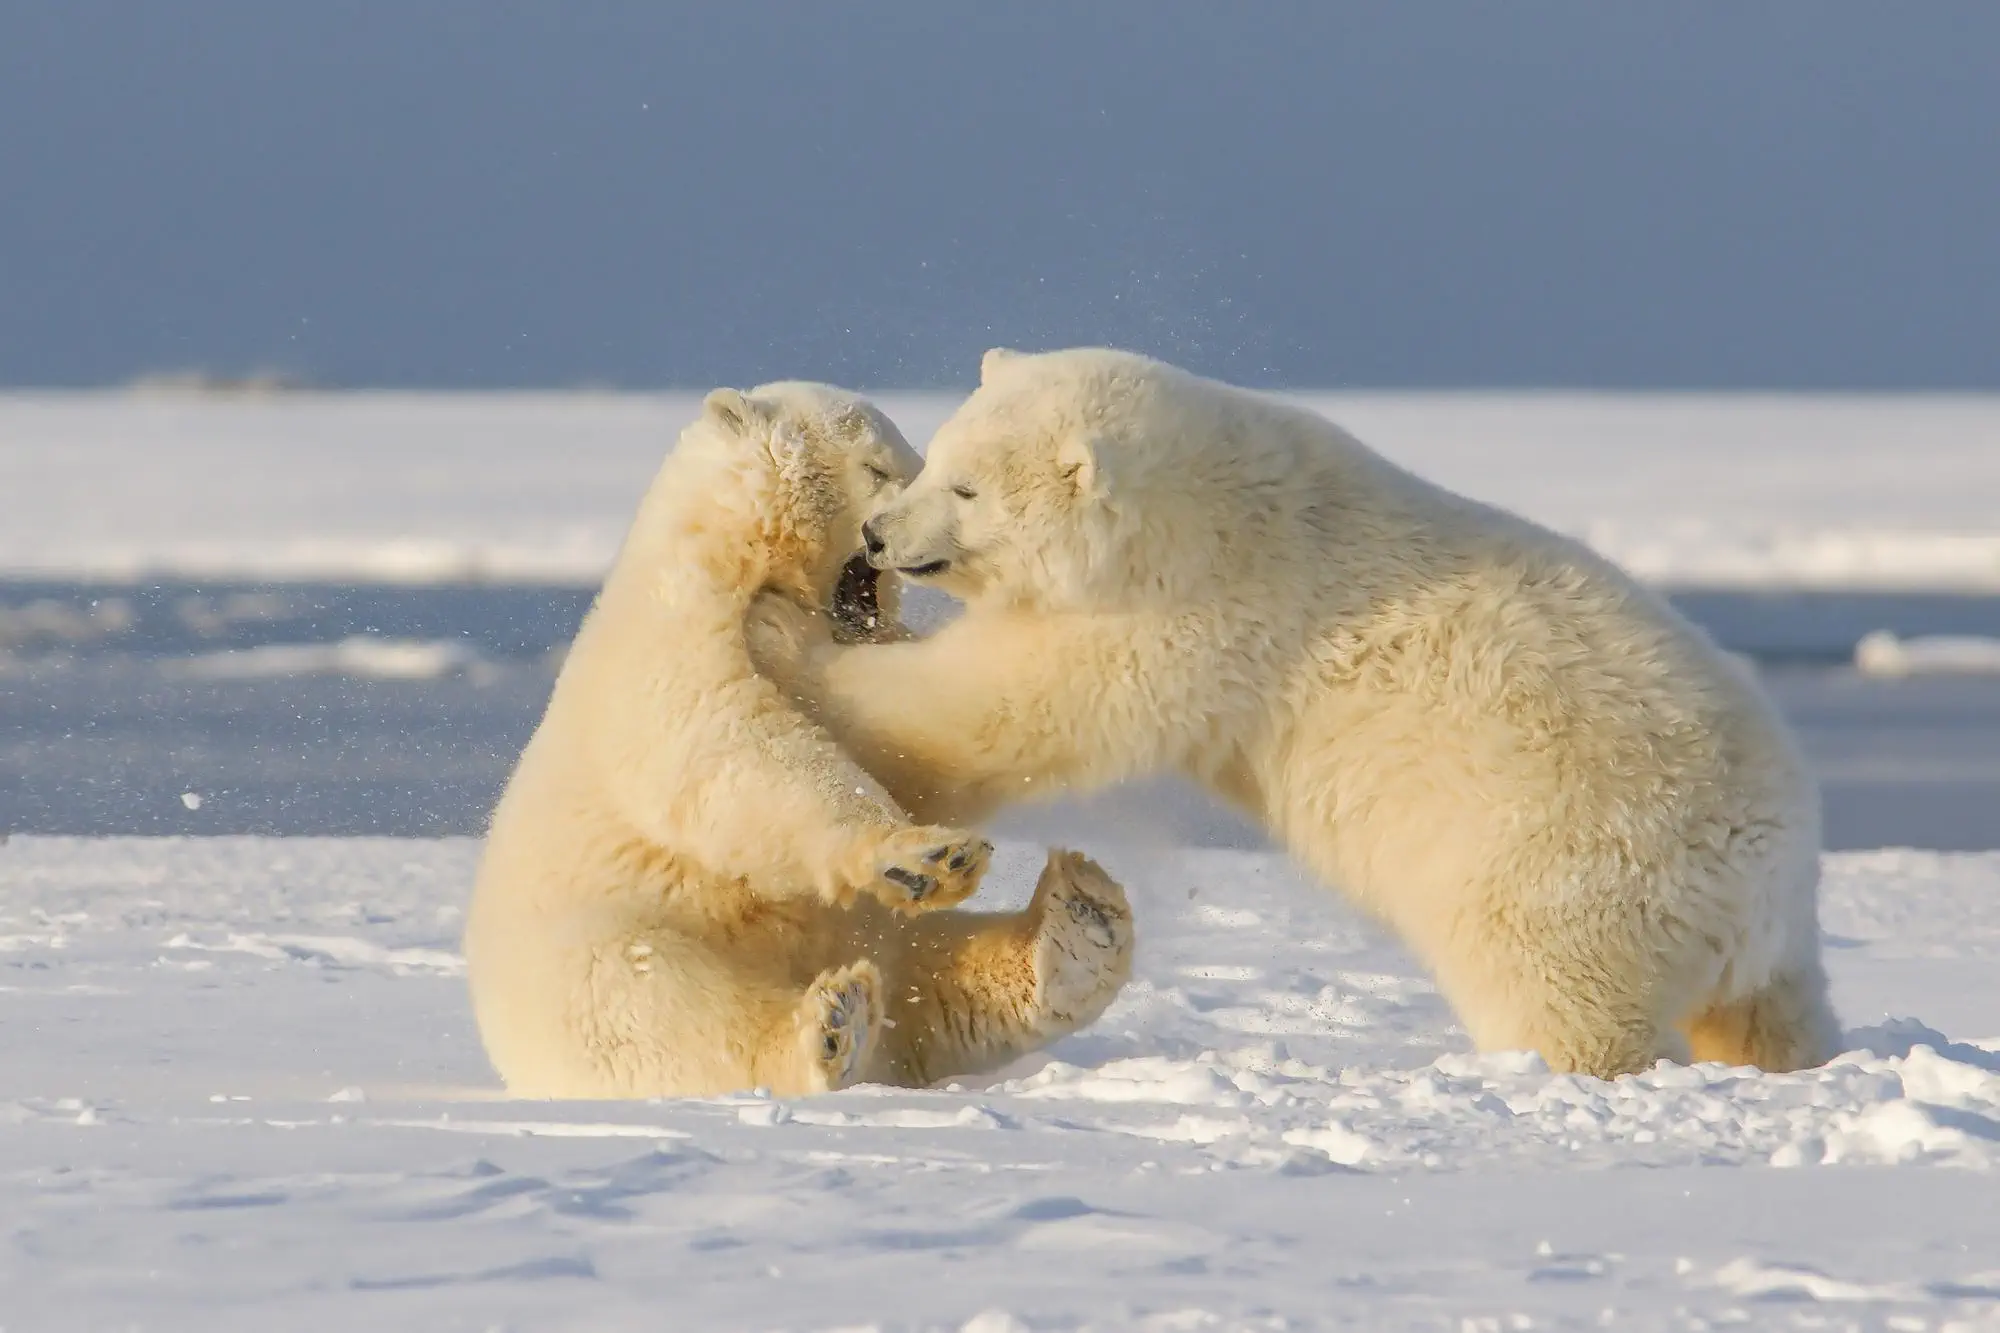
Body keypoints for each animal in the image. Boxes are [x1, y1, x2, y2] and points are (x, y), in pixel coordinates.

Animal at [463, 380, 1133, 1099]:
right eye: (880, 467)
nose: (894, 534)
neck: (735, 559)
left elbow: (911, 742)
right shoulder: (674, 636)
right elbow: (733, 747)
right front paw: (923, 854)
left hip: (874, 937)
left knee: (934, 978)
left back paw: (1078, 923)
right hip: (608, 949)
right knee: (662, 1009)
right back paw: (833, 1027)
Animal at [751, 347, 1839, 1080]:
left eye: (968, 486)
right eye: (931, 458)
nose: (877, 534)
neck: (1211, 510)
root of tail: (1767, 867)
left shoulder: (1197, 617)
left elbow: (999, 705)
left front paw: (778, 635)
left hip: (1561, 870)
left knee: (1560, 999)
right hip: (1745, 939)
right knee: (1769, 1011)